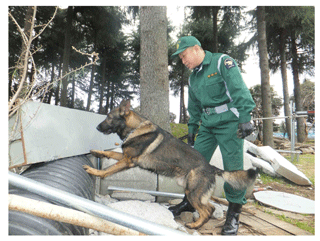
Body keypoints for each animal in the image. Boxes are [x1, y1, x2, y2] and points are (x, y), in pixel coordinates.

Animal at [83, 99, 258, 229]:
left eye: (108, 117)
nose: (97, 127)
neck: (135, 128)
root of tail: (211, 167)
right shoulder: (124, 156)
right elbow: (110, 153)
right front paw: (96, 152)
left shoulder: (127, 161)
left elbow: (108, 169)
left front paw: (95, 171)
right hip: (192, 191)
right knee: (211, 207)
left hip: (193, 192)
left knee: (207, 210)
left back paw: (194, 225)